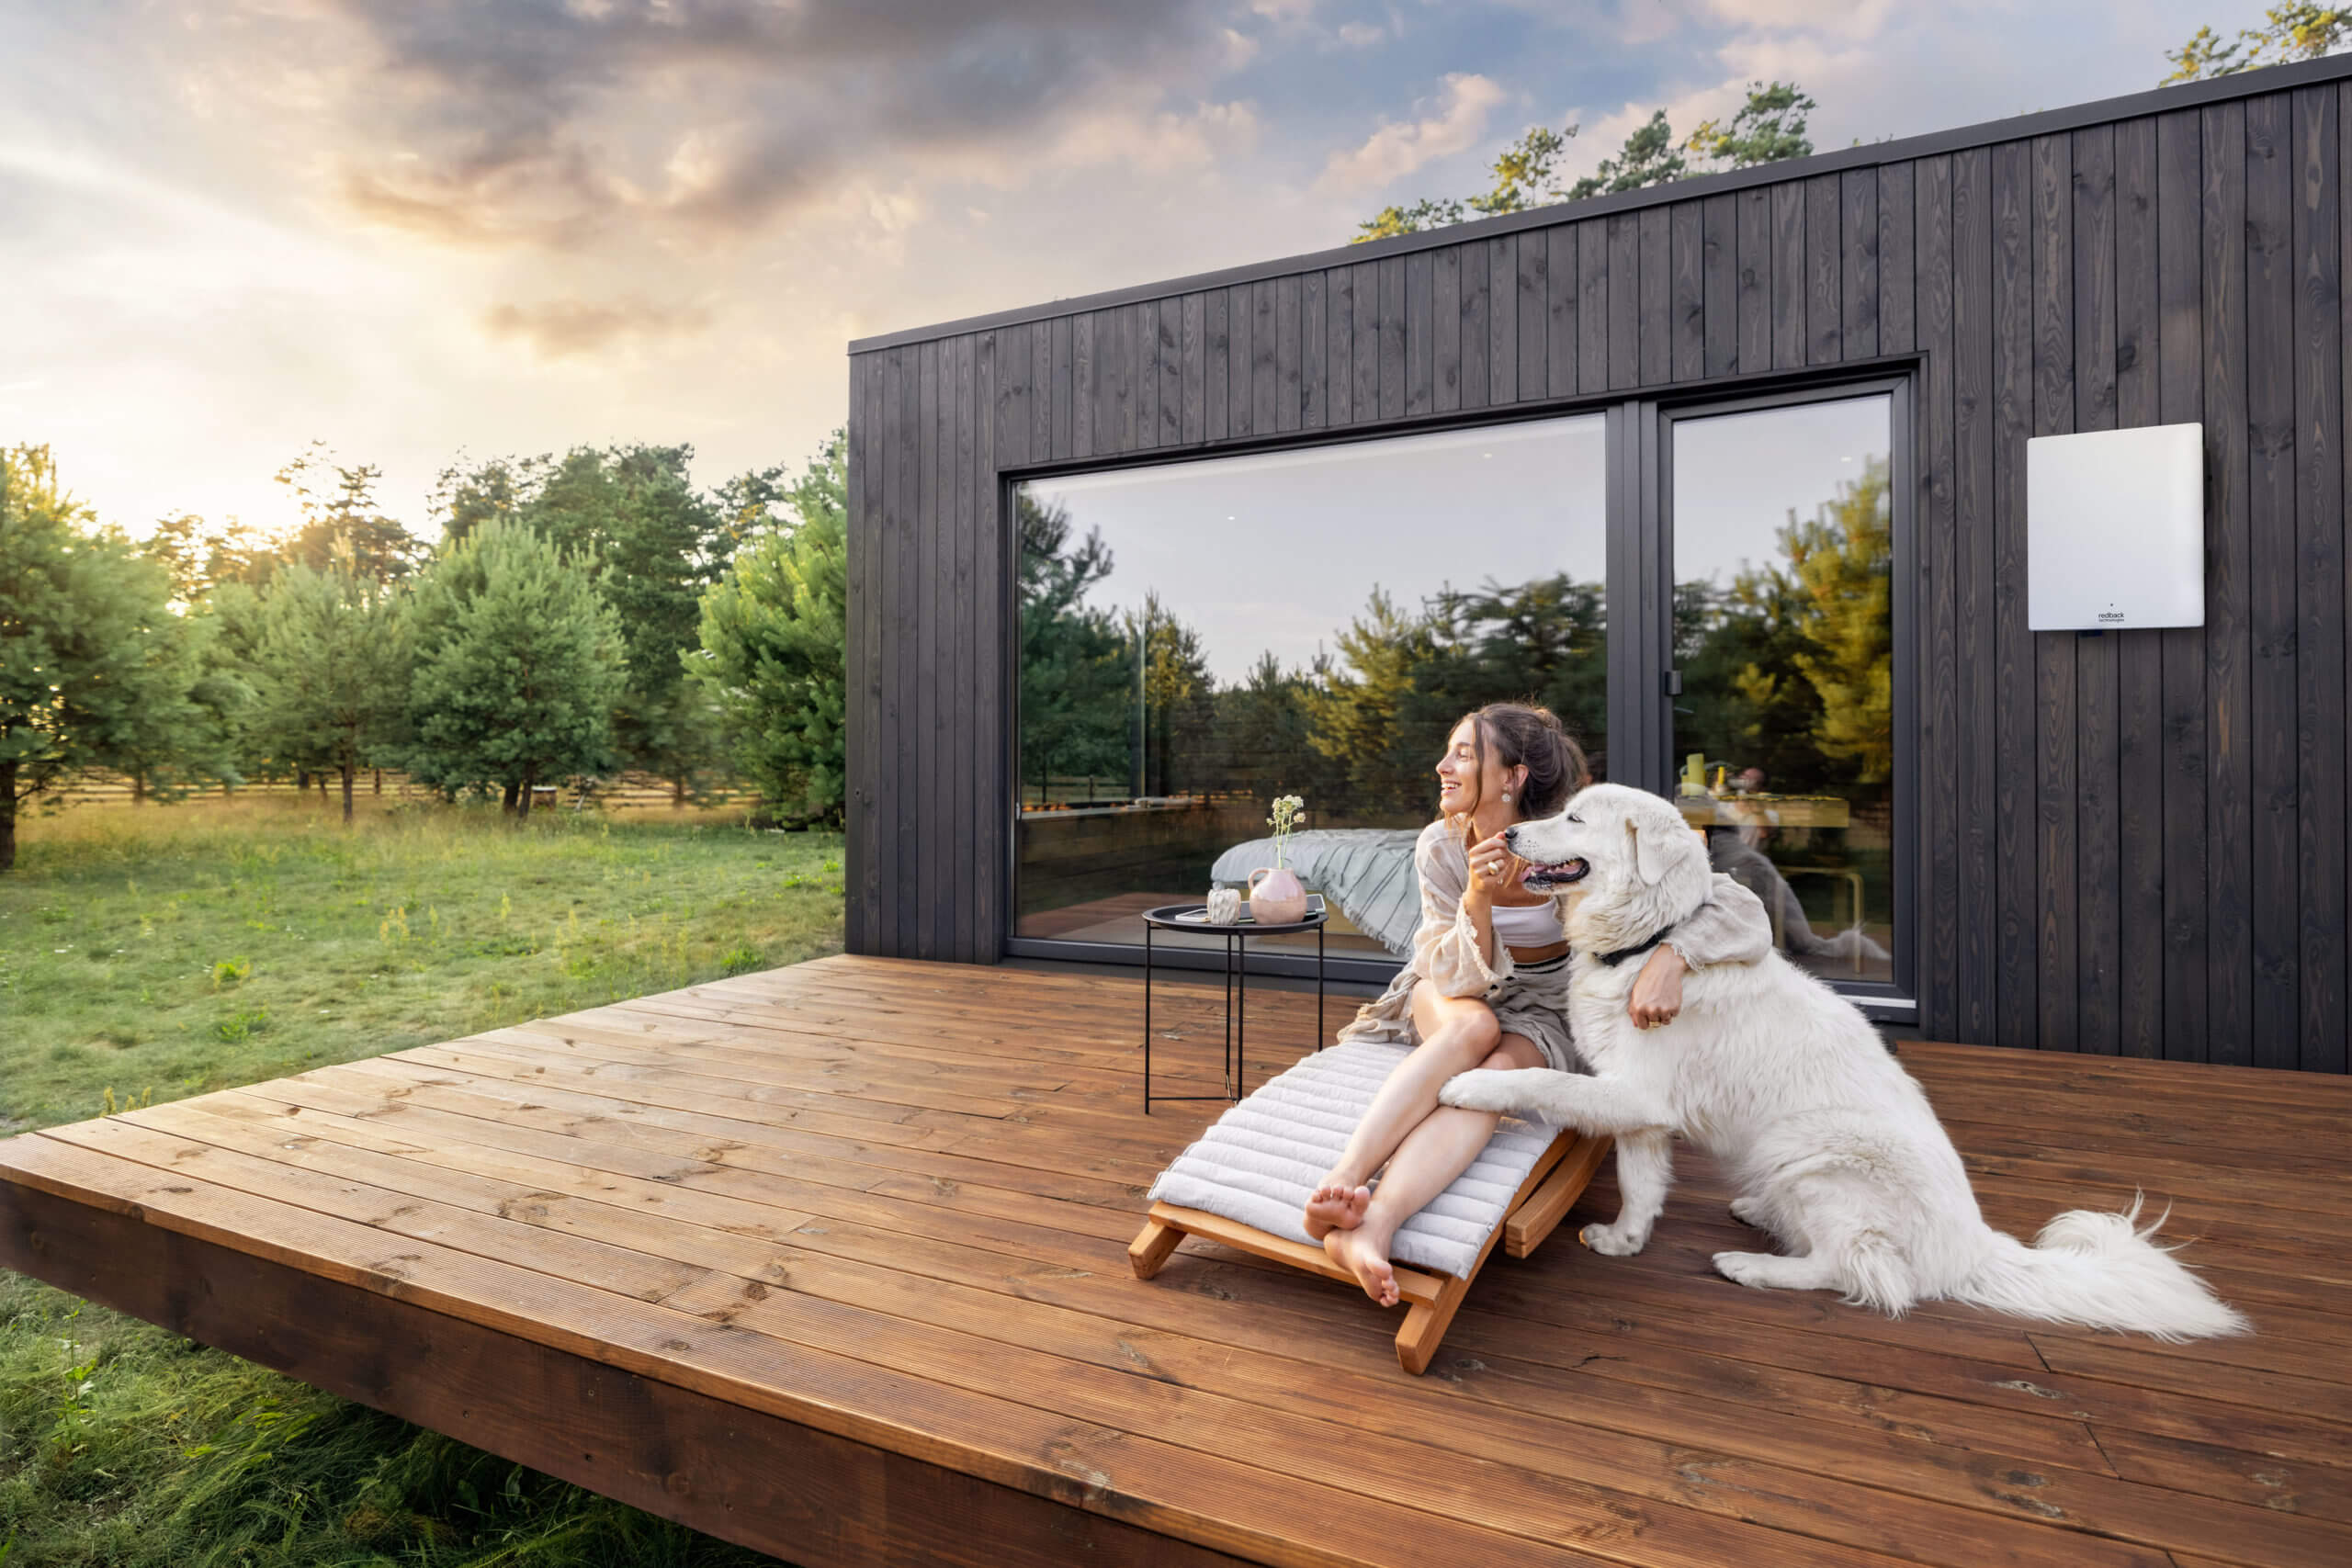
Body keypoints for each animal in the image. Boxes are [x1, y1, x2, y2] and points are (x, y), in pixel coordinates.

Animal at [1439, 780, 2248, 1335]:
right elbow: (1641, 1185)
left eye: (1574, 818)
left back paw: (1752, 1263)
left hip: (1815, 1152)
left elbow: (1538, 1077)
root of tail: (1973, 1247)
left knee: (1862, 1272)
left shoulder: (1635, 1094)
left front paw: (1471, 1086)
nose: (1512, 830)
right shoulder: (1643, 1109)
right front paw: (1624, 1240)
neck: (1647, 943)